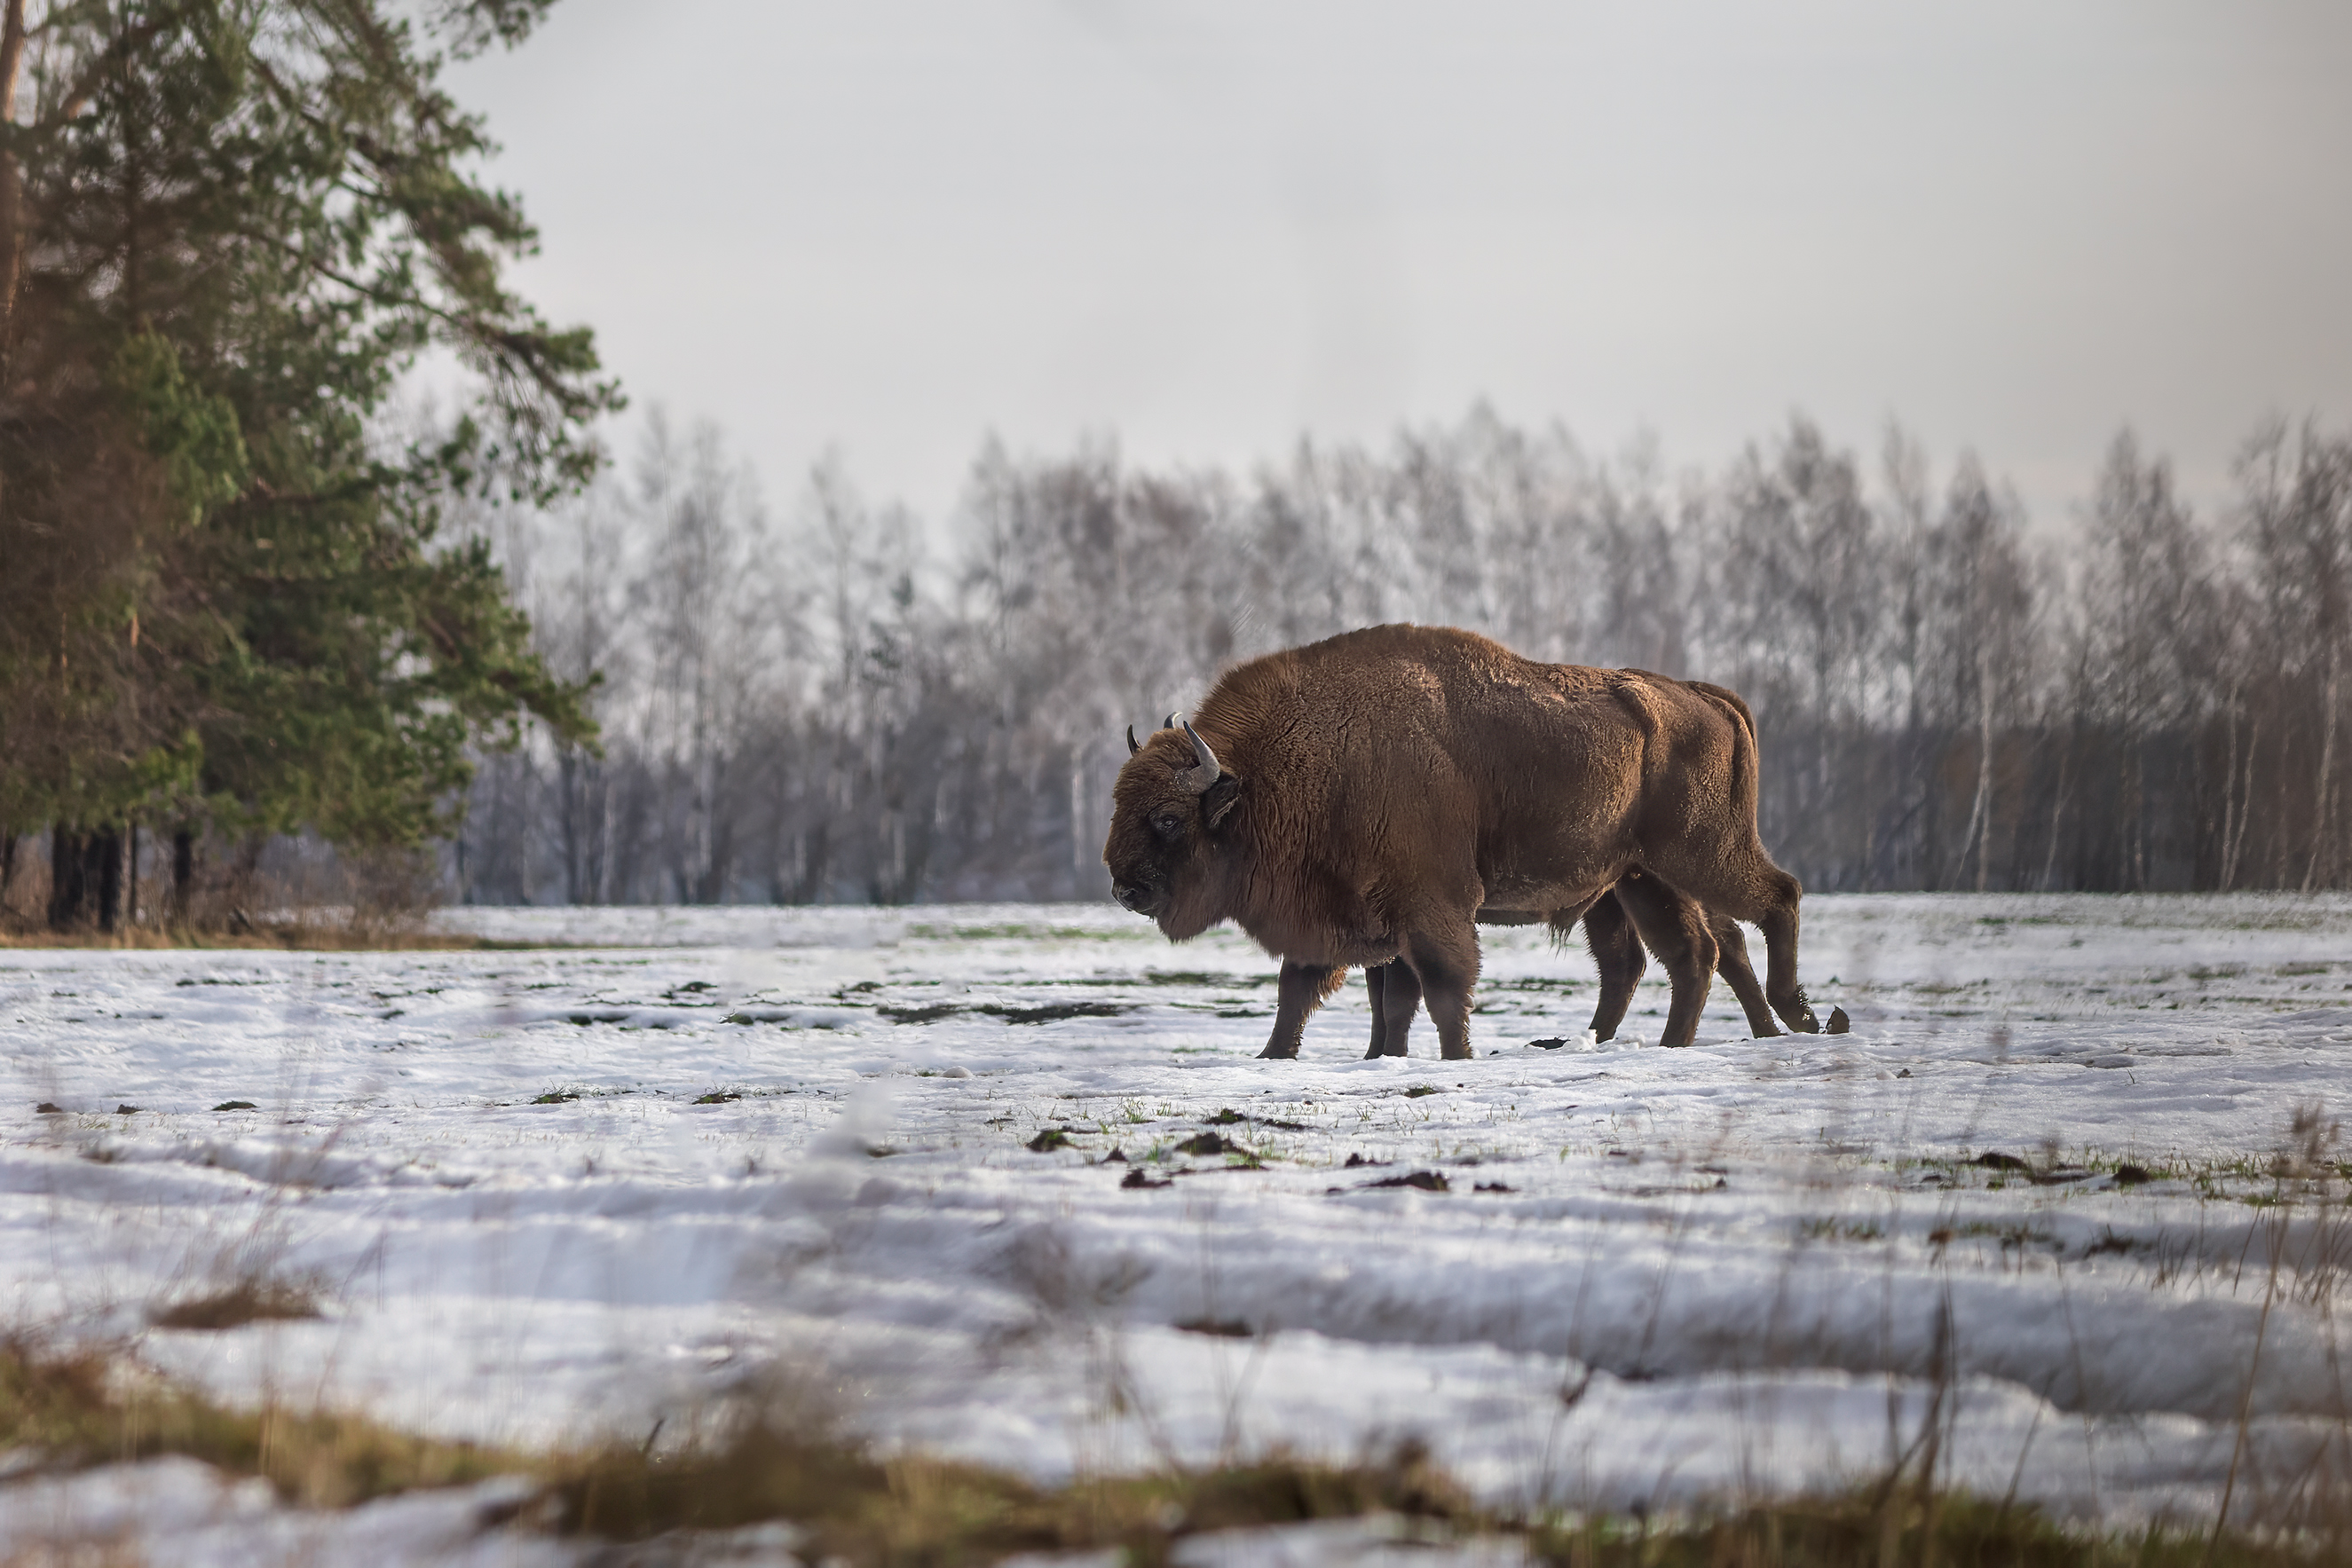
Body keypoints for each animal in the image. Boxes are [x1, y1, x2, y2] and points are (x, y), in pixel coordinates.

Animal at [1101, 620, 1815, 1052]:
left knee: (1771, 901)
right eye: (1119, 803)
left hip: (1697, 857)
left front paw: (1456, 1056)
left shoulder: (1429, 906)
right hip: (1642, 878)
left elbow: (1441, 987)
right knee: (1679, 955)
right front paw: (1279, 1056)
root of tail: (1703, 696)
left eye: (1167, 818)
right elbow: (1314, 992)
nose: (1123, 887)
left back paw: (1794, 1015)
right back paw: (1657, 1042)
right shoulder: (1352, 917)